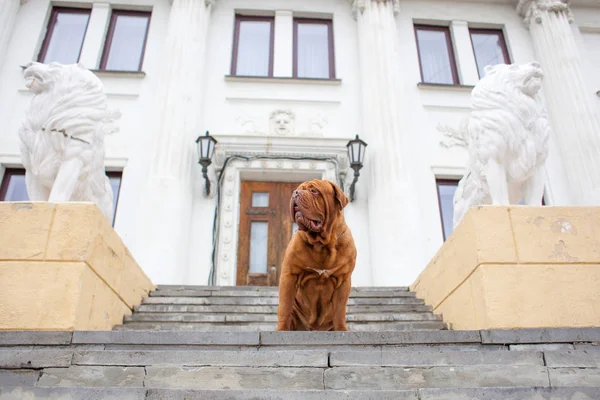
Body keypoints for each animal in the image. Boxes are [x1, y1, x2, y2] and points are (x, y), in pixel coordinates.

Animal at [278, 180, 356, 330]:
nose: (295, 193)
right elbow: (285, 307)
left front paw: (341, 329)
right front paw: (282, 330)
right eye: (297, 189)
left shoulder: (343, 280)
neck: (321, 244)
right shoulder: (289, 275)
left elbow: (340, 311)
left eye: (314, 191)